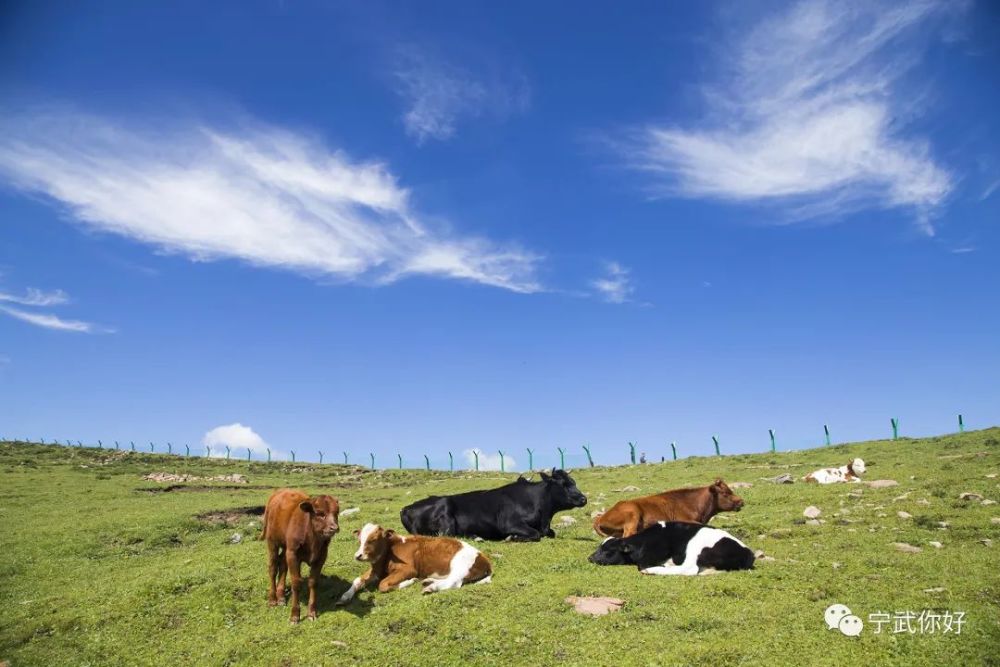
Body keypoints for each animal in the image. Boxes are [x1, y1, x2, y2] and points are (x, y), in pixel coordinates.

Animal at [262, 488, 340, 624]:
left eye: (336, 512)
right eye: (320, 513)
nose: (334, 528)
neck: (313, 539)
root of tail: (279, 492)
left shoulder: (321, 556)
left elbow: (313, 582)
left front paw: (311, 613)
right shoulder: (293, 554)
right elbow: (296, 583)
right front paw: (295, 615)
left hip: (286, 547)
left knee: (283, 565)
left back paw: (281, 596)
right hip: (272, 542)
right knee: (272, 568)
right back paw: (272, 599)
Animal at [336, 520, 492, 604]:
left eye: (373, 539)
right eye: (359, 540)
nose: (358, 555)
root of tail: (484, 557)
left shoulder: (409, 569)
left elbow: (383, 585)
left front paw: (409, 582)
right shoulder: (376, 570)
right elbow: (357, 580)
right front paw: (345, 596)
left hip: (460, 567)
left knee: (454, 582)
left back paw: (430, 587)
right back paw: (429, 581)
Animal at [398, 470, 584, 544]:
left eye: (574, 482)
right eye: (563, 484)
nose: (584, 498)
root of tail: (406, 507)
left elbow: (550, 533)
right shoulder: (509, 523)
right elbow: (535, 534)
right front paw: (513, 538)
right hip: (445, 512)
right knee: (447, 536)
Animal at [584, 520, 752, 576]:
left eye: (607, 551)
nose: (590, 558)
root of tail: (747, 553)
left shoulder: (648, 557)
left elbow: (641, 566)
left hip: (694, 546)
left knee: (689, 569)